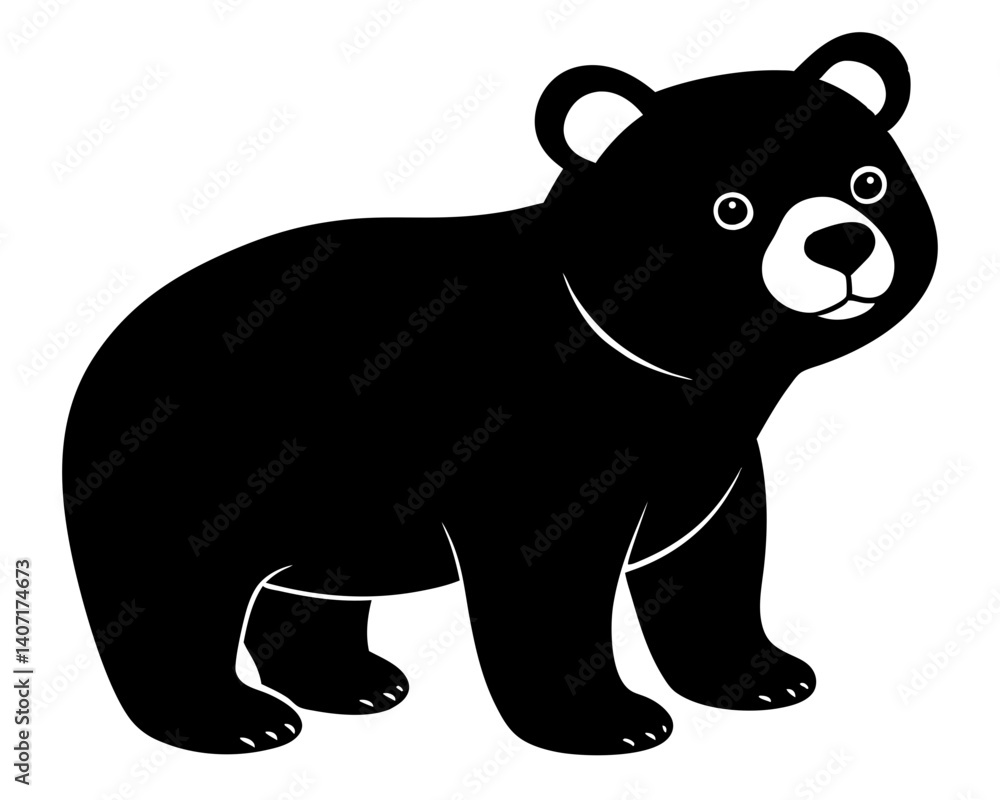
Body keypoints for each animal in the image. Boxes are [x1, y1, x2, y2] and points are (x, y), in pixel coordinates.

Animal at [63, 32, 936, 755]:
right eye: (731, 208)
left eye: (868, 181)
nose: (842, 241)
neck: (696, 375)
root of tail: (101, 355)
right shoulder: (537, 435)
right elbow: (546, 579)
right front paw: (610, 721)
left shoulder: (712, 452)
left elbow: (710, 559)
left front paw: (765, 676)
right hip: (192, 470)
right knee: (171, 596)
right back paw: (236, 720)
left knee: (308, 589)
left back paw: (353, 683)